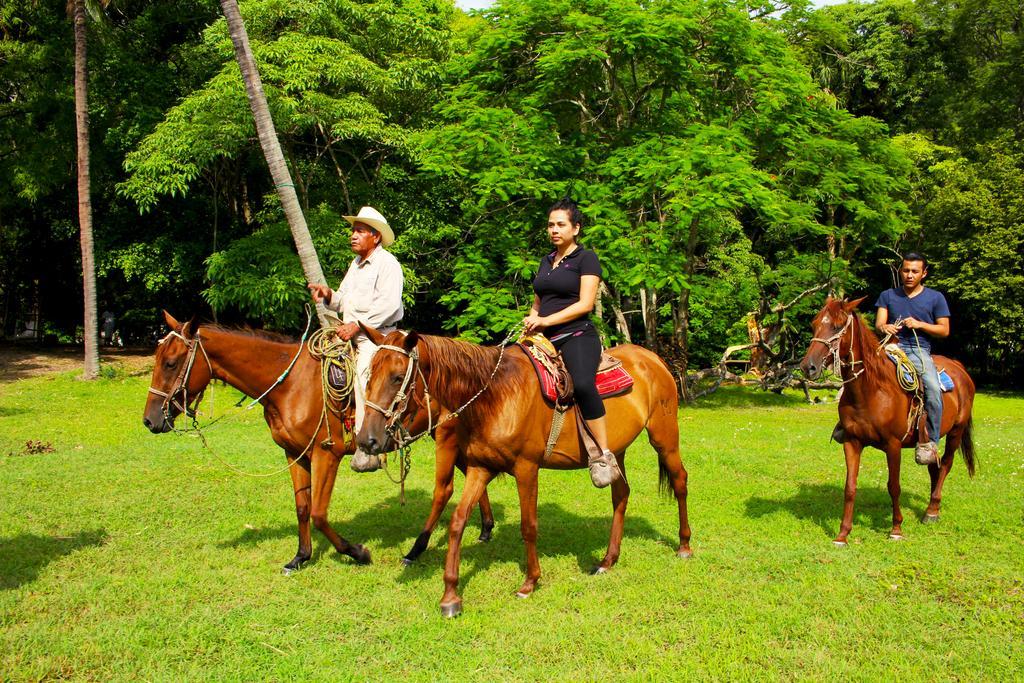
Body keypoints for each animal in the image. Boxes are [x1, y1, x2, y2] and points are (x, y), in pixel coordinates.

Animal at [798, 296, 974, 544]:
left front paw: (896, 529)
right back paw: (932, 508)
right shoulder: (852, 442)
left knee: (946, 465)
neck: (871, 391)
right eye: (814, 324)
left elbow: (894, 486)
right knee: (934, 466)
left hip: (956, 431)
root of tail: (959, 368)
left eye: (837, 326)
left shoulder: (893, 445)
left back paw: (931, 511)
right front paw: (842, 534)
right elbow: (850, 486)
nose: (808, 367)